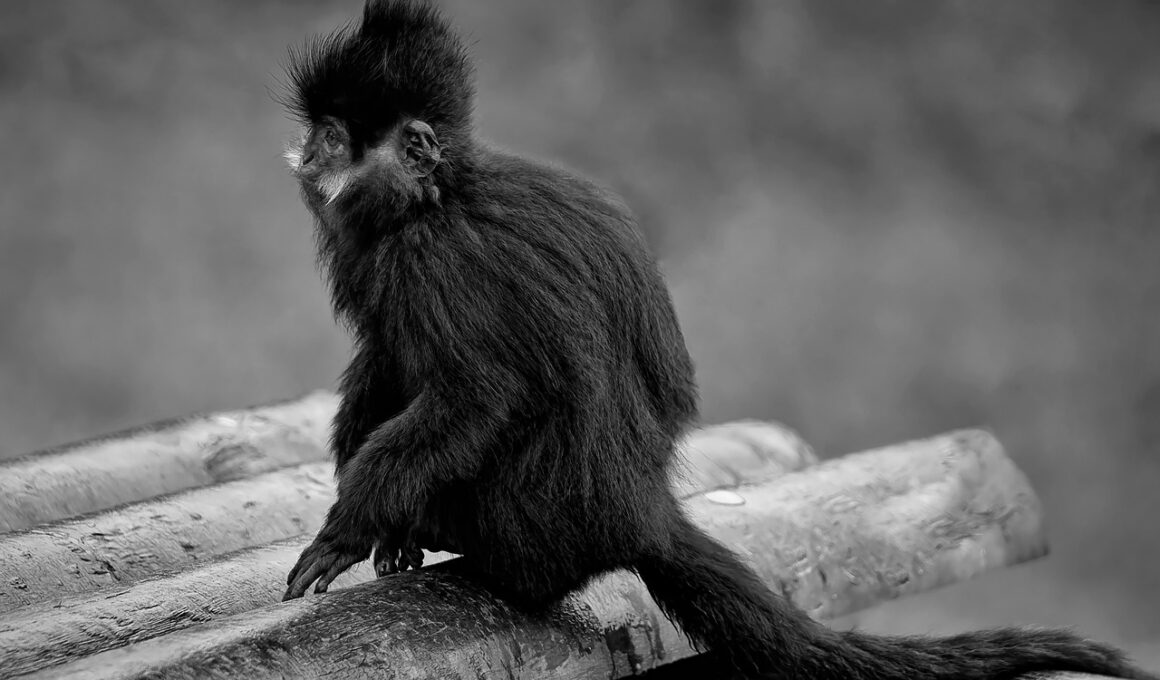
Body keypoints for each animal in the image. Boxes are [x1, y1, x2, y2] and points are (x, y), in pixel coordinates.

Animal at [277, 2, 1155, 678]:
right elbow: (390, 362)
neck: (440, 195)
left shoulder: (432, 259)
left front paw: (349, 527)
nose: (307, 155)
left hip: (521, 528)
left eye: (335, 138)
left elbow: (477, 396)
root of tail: (637, 511)